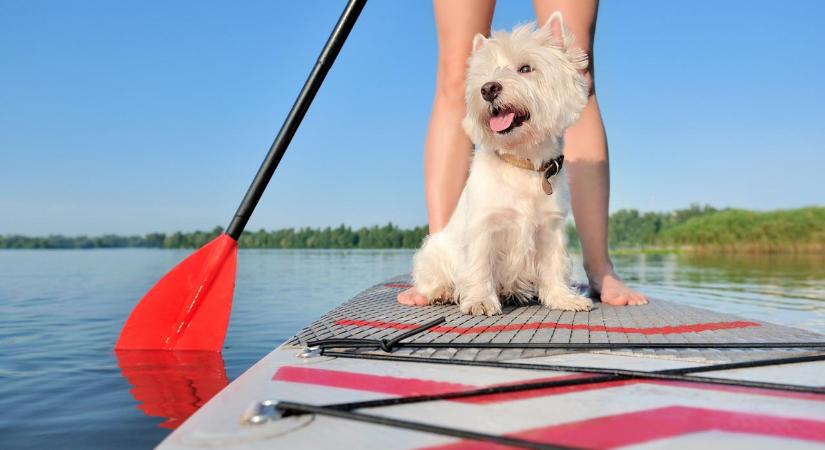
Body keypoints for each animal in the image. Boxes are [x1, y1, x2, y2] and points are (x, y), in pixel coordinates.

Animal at [412, 13, 592, 316]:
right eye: (484, 75)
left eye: (525, 68)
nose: (488, 88)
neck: (521, 162)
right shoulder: (485, 226)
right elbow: (480, 265)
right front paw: (481, 301)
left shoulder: (550, 229)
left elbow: (554, 265)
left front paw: (564, 299)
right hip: (433, 251)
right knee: (431, 277)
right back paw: (442, 292)